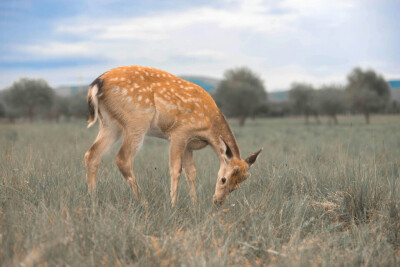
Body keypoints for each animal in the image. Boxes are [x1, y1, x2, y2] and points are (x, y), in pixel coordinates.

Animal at [84, 65, 262, 207]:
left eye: (237, 186)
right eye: (223, 179)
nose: (218, 202)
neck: (209, 128)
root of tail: (97, 83)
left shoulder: (189, 143)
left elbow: (191, 172)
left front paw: (194, 204)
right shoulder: (180, 133)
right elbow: (176, 169)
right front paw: (173, 205)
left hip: (110, 124)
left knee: (92, 154)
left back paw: (93, 202)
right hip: (136, 120)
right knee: (122, 159)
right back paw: (144, 202)